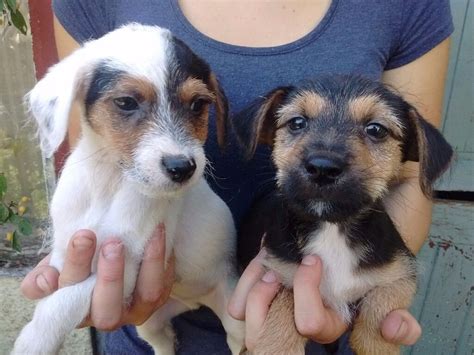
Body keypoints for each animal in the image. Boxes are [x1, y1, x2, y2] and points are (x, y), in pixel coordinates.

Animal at [14, 23, 244, 354]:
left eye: (198, 104)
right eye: (126, 102)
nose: (182, 168)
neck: (109, 184)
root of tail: (192, 302)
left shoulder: (128, 266)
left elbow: (63, 301)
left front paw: (34, 341)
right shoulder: (65, 251)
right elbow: (56, 293)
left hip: (237, 318)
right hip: (147, 324)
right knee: (163, 343)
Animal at [235, 76, 454, 354]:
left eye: (376, 129)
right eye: (297, 122)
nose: (323, 168)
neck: (332, 228)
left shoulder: (402, 270)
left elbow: (384, 298)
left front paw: (375, 343)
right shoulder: (275, 272)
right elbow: (287, 298)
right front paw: (277, 345)